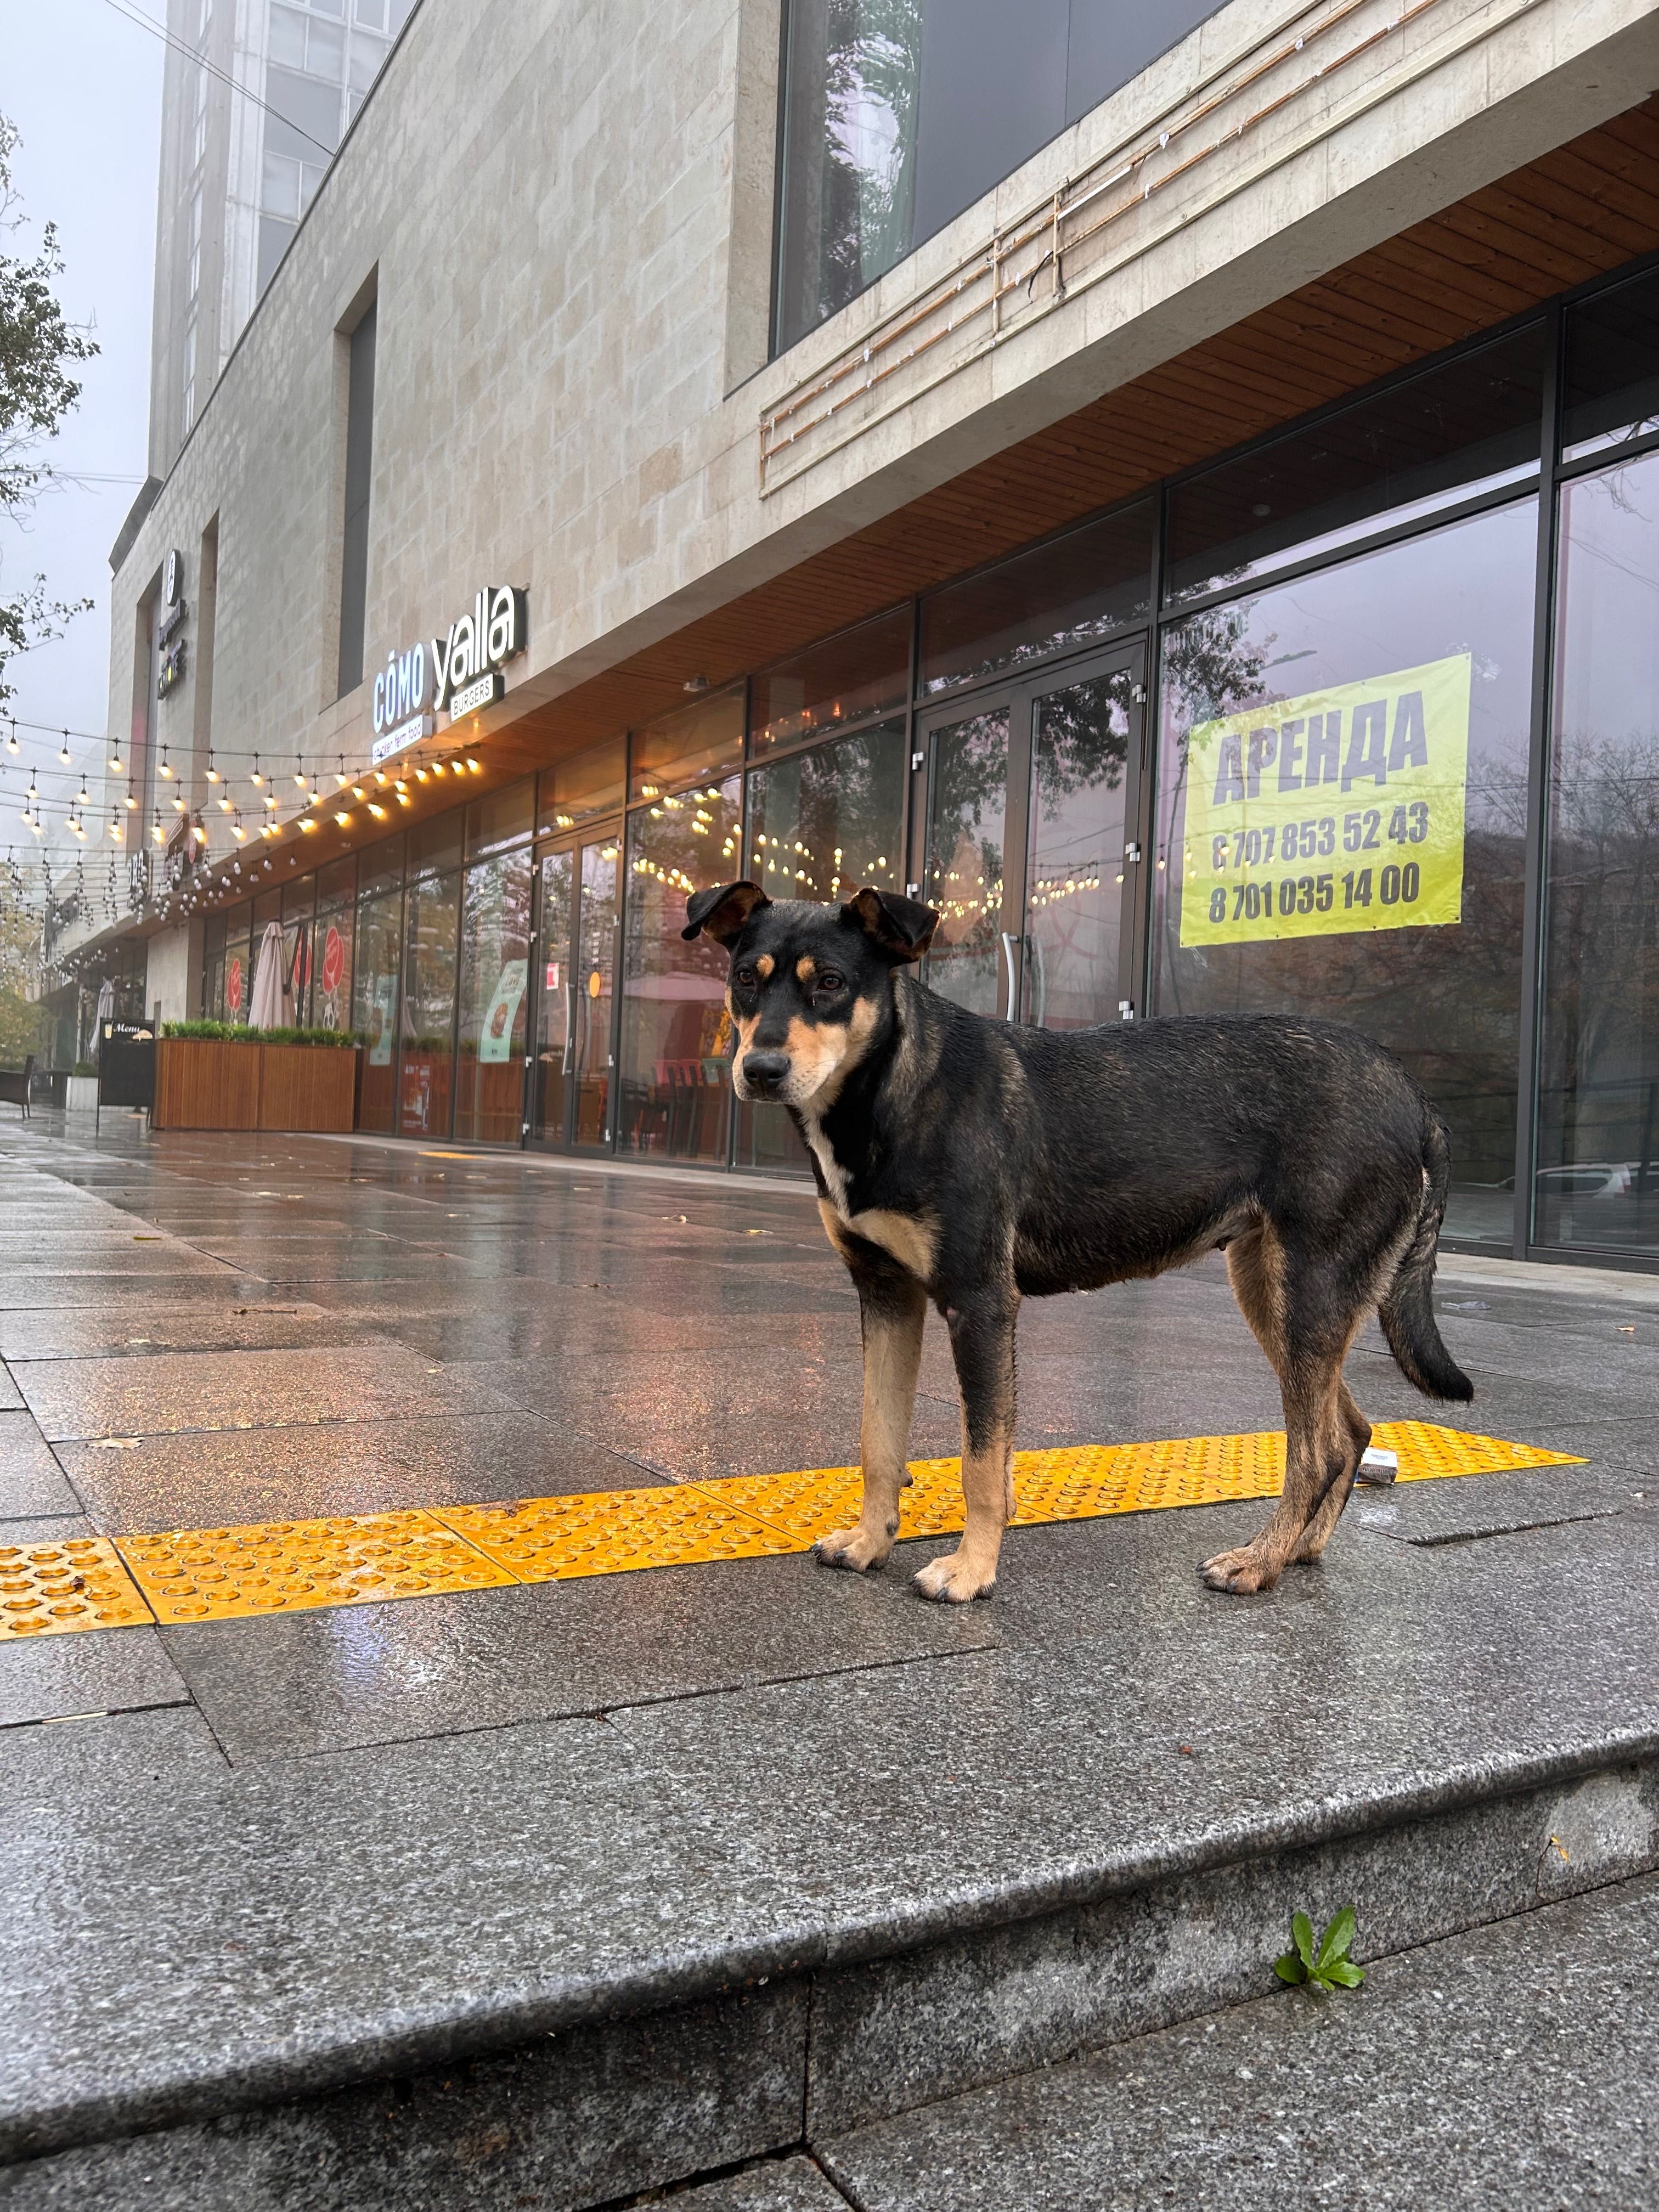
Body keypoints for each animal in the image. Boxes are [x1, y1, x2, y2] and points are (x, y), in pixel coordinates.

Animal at [681, 876, 1477, 1610]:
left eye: (833, 985)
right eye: (745, 979)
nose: (760, 1071)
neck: (890, 1091)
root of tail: (1415, 1096)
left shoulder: (980, 1303)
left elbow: (981, 1462)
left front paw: (971, 1571)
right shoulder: (887, 1295)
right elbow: (879, 1440)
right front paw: (872, 1541)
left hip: (1308, 1290)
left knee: (1316, 1452)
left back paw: (1258, 1562)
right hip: (1276, 1294)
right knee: (1350, 1433)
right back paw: (1300, 1550)